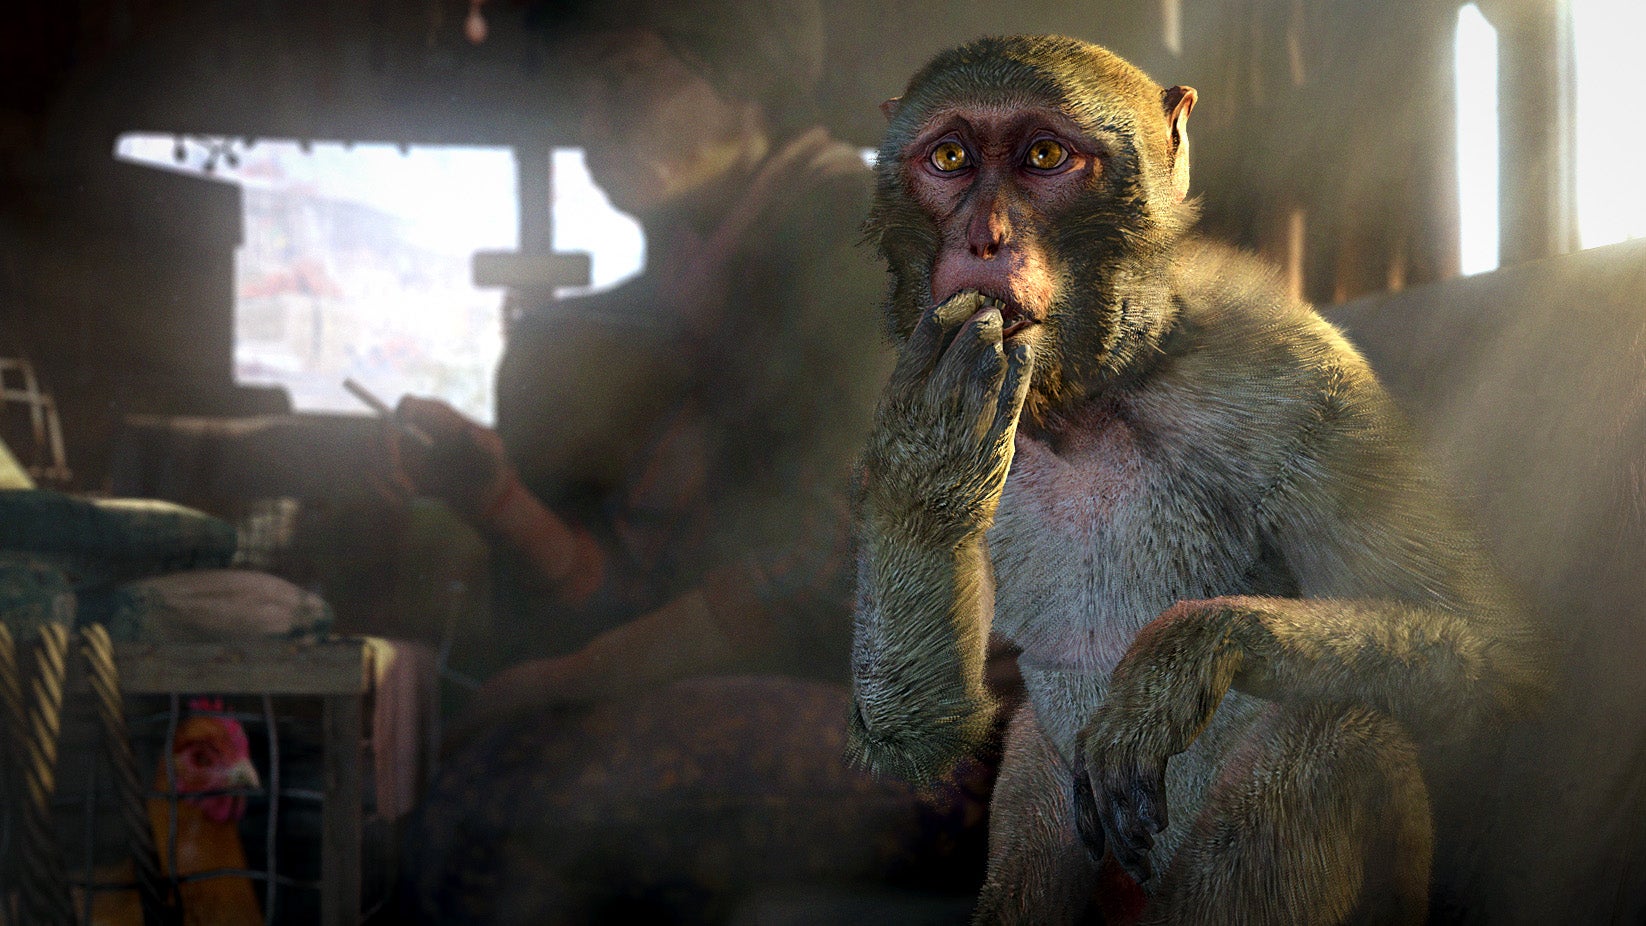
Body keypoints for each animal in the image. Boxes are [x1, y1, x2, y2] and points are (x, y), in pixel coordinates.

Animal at [845, 35, 1550, 925]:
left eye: (1044, 157)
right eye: (949, 159)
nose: (984, 239)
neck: (1092, 400)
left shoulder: (1299, 381)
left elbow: (1497, 657)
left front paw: (1188, 654)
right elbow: (926, 739)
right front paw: (925, 474)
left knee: (1326, 735)